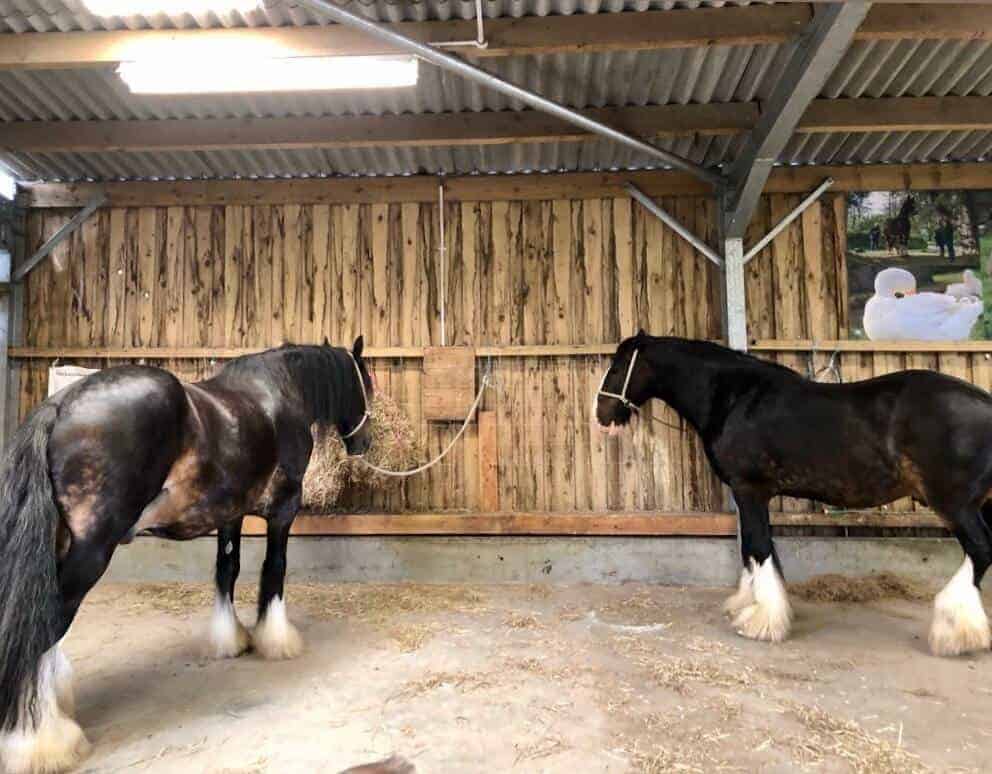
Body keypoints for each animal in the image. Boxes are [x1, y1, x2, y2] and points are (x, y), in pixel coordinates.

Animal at [0, 337, 374, 774]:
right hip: (91, 552)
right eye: (366, 382)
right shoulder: (283, 509)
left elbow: (228, 570)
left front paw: (230, 639)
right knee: (46, 628)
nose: (365, 442)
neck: (277, 392)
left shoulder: (229, 514)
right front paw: (276, 640)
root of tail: (60, 407)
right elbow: (274, 570)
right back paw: (40, 741)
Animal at [596, 332, 992, 657]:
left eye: (617, 368)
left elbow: (757, 548)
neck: (736, 397)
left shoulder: (750, 491)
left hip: (955, 504)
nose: (602, 413)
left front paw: (761, 621)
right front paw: (746, 604)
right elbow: (752, 549)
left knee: (980, 550)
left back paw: (955, 631)